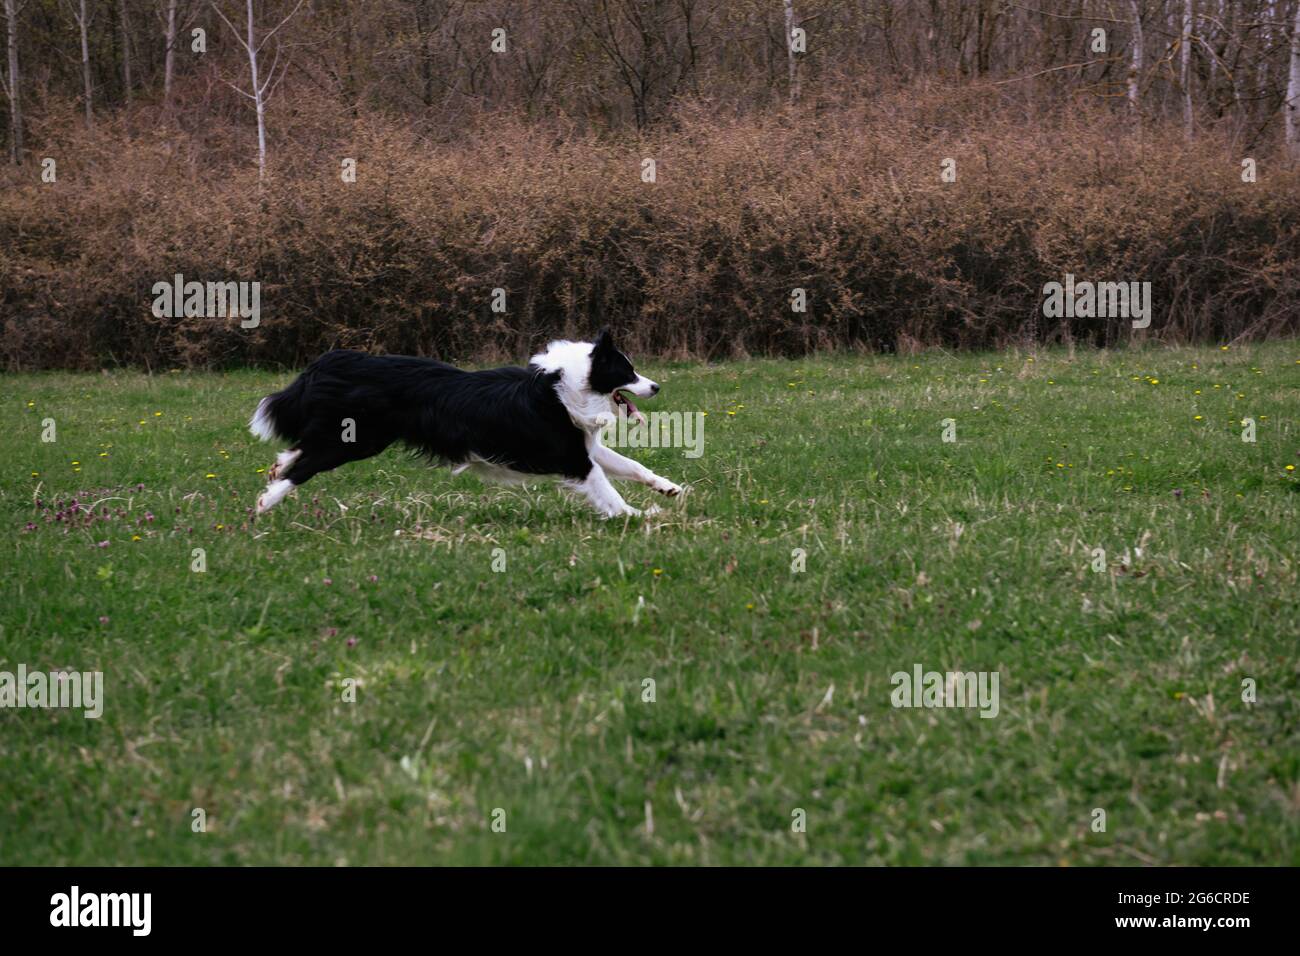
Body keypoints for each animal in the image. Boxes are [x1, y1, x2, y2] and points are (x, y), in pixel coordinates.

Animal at [246, 332, 686, 520]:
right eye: (628, 371)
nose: (656, 386)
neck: (567, 383)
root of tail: (333, 359)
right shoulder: (573, 458)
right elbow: (607, 489)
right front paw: (636, 515)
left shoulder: (584, 446)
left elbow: (632, 466)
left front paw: (668, 488)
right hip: (357, 440)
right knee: (305, 465)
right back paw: (267, 502)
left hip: (350, 436)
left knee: (300, 448)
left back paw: (277, 468)